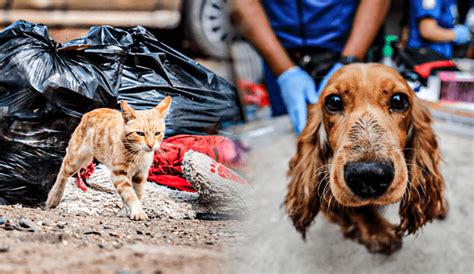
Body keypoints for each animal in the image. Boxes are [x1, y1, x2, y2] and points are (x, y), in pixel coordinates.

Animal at [286, 63, 448, 254]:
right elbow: (356, 209)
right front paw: (379, 231)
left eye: (399, 100)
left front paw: (439, 205)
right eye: (334, 102)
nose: (369, 175)